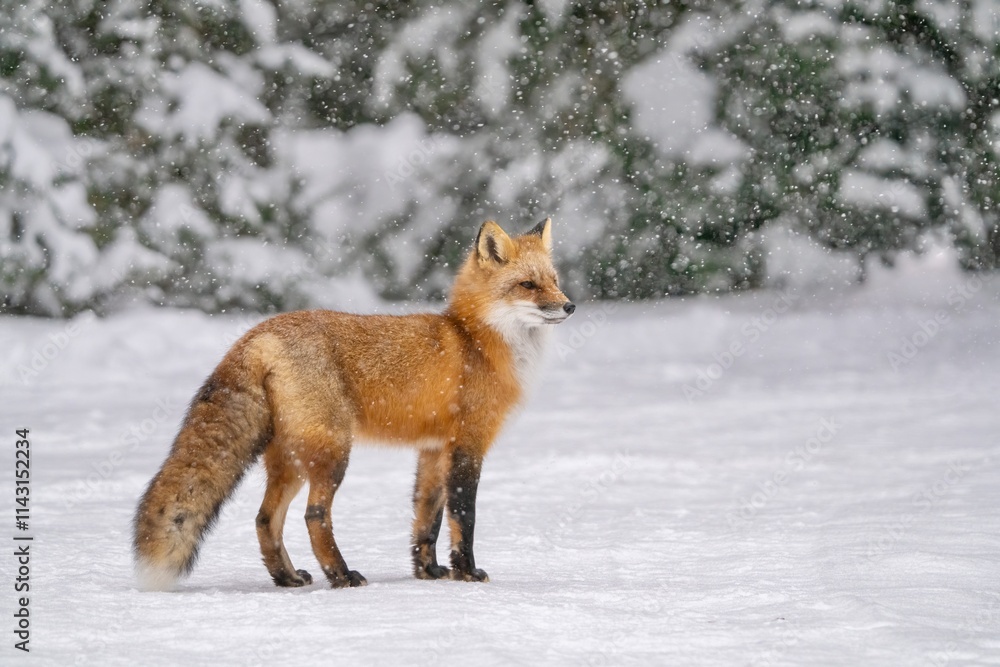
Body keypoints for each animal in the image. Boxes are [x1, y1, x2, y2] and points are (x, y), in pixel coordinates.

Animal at [133, 218, 575, 590]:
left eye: (554, 281)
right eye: (528, 285)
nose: (570, 305)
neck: (477, 341)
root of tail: (257, 335)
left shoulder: (433, 449)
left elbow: (427, 517)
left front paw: (429, 572)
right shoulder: (469, 444)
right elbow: (463, 516)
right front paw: (467, 572)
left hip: (291, 460)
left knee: (265, 519)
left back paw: (288, 578)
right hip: (332, 452)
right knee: (314, 516)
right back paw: (342, 576)